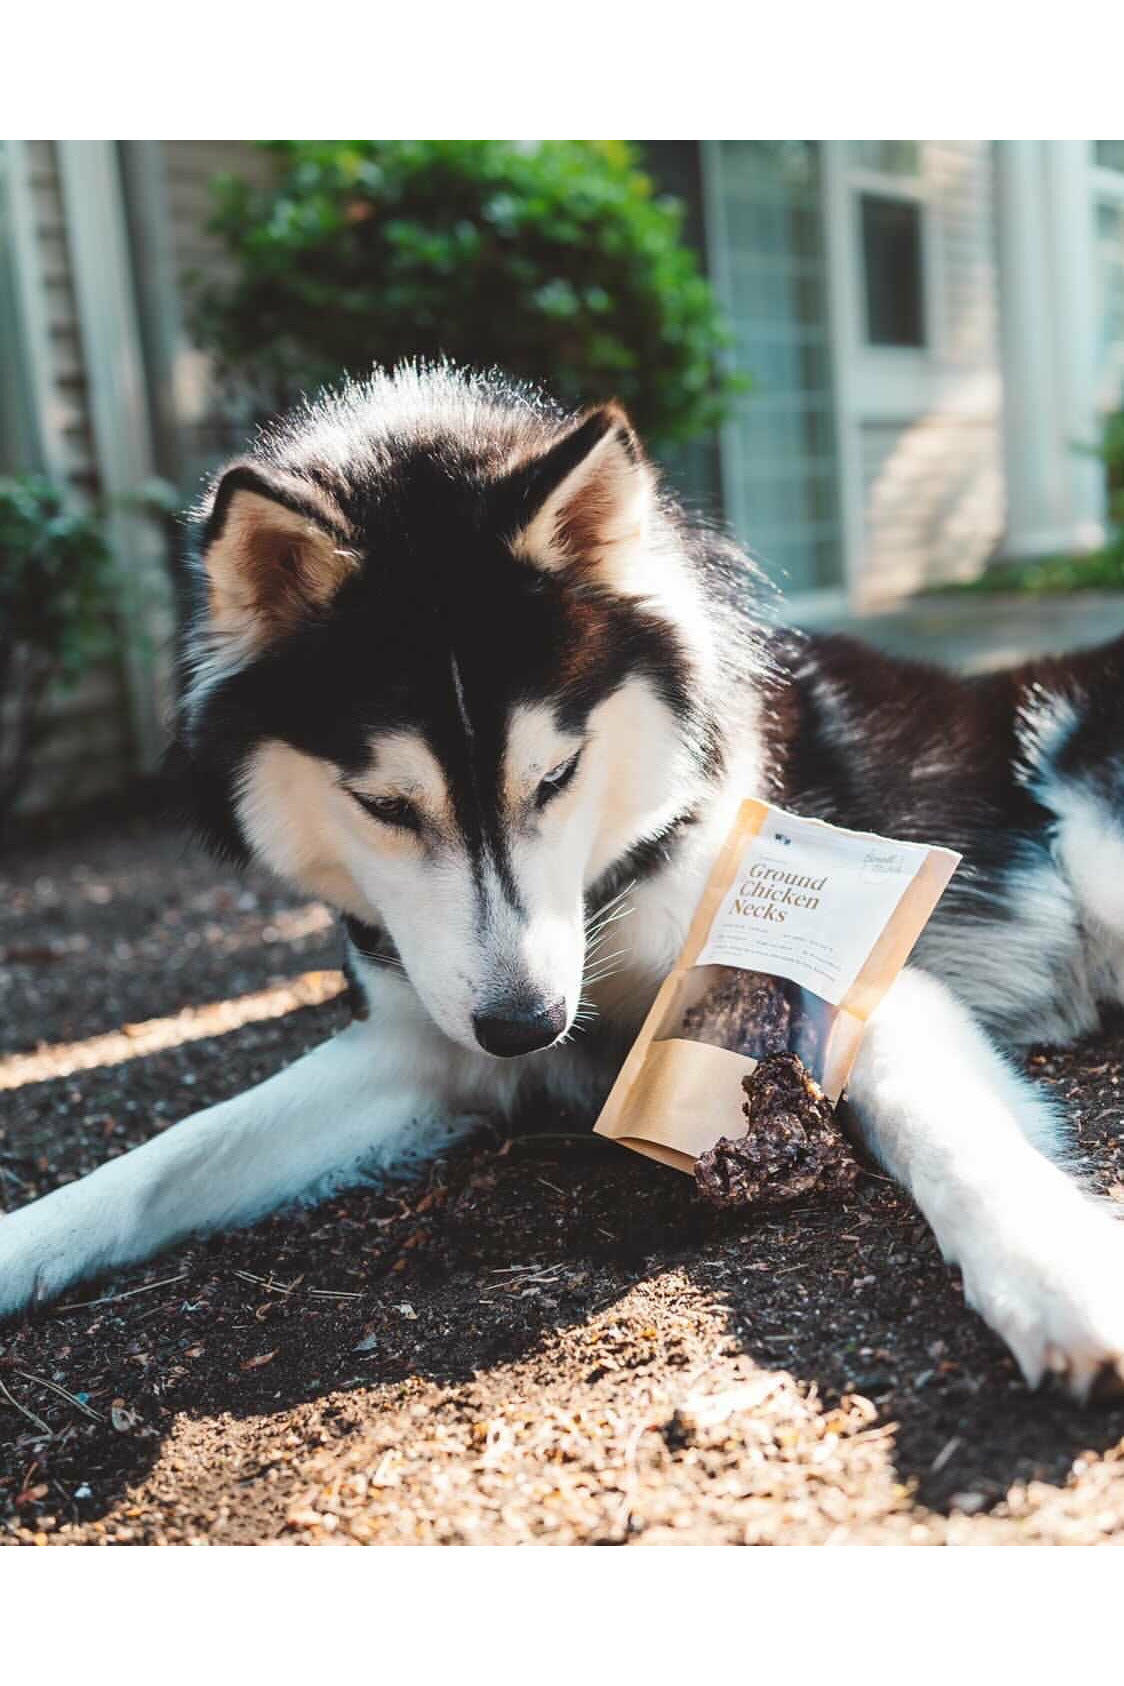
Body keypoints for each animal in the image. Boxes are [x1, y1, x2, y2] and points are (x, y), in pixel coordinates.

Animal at [2, 365, 1124, 1396]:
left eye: (555, 775)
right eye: (386, 806)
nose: (524, 1027)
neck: (602, 891)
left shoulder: (836, 979)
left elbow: (950, 1134)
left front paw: (1052, 1268)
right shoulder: (419, 1048)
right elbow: (165, 1157)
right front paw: (25, 1242)